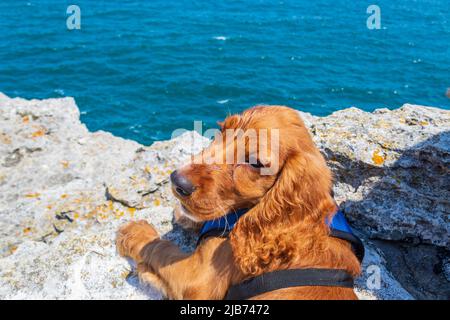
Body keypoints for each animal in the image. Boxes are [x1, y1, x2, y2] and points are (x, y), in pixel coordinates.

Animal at [117, 106, 362, 298]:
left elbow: (161, 247)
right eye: (222, 130)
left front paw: (136, 232)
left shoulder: (198, 279)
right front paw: (183, 216)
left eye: (255, 163)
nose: (177, 181)